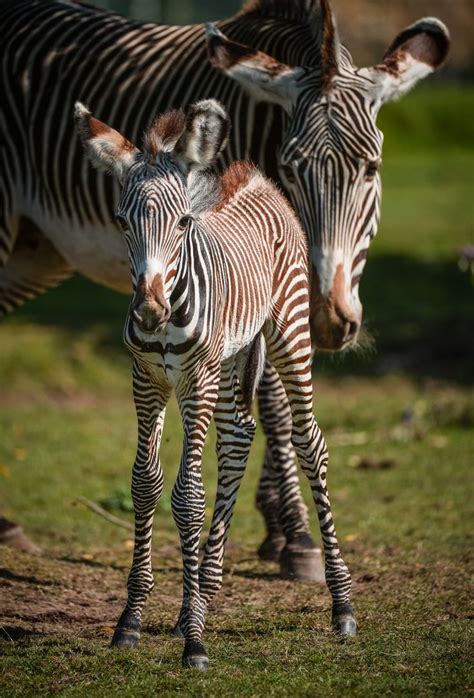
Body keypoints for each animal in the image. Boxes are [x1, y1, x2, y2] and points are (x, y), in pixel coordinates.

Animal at [0, 1, 450, 576]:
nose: (329, 322)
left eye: (372, 168)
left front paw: (276, 529)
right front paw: (295, 536)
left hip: (32, 253)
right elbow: (273, 403)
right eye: (290, 168)